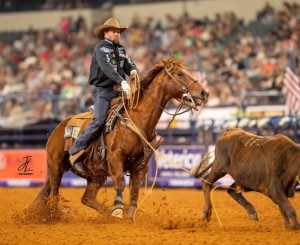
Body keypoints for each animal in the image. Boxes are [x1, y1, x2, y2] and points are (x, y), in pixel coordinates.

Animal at [32, 57, 209, 220]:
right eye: (179, 74)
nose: (204, 93)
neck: (138, 120)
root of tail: (59, 127)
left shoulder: (141, 166)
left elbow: (134, 190)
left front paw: (129, 215)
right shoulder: (115, 157)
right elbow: (120, 181)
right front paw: (117, 210)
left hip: (96, 175)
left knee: (85, 198)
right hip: (55, 166)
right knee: (54, 194)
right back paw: (54, 216)